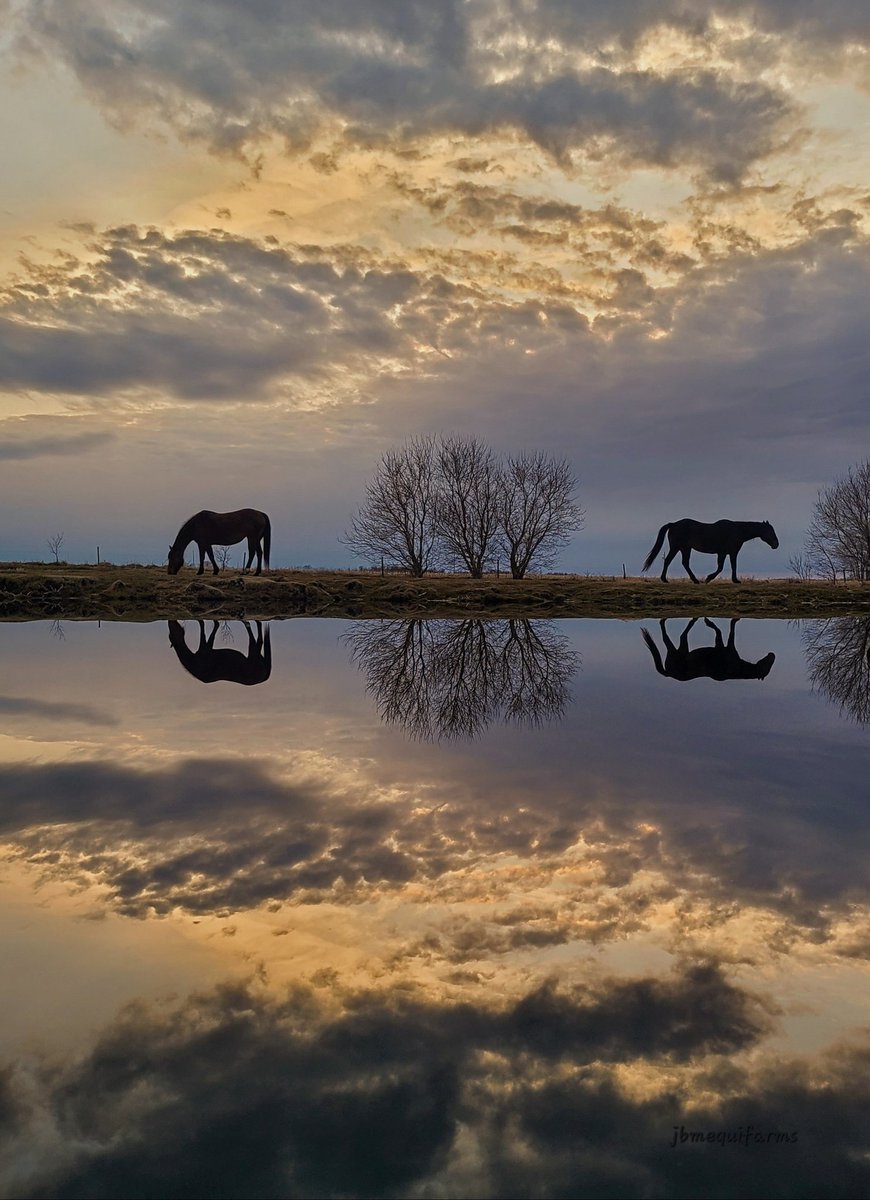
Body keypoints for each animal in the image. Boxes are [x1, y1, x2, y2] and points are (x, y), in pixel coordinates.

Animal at [642, 518, 778, 583]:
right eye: (770, 530)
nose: (776, 545)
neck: (737, 531)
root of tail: (673, 524)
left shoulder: (730, 553)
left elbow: (732, 566)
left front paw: (735, 580)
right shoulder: (724, 553)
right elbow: (721, 567)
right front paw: (708, 578)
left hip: (684, 548)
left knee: (680, 562)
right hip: (679, 548)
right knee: (672, 561)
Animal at [642, 618, 775, 682]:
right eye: (768, 666)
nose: (772, 654)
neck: (736, 669)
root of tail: (668, 673)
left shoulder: (722, 646)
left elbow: (721, 631)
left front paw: (708, 622)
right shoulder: (725, 647)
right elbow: (724, 631)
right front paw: (709, 622)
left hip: (680, 650)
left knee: (679, 636)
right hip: (678, 651)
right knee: (674, 635)